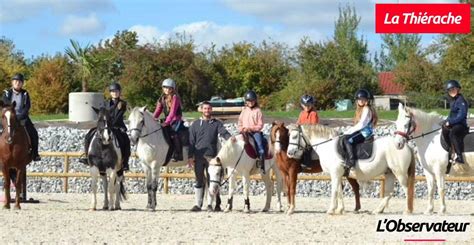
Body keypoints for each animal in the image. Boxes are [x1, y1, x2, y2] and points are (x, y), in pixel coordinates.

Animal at [286, 124, 414, 214]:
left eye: (295, 136)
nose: (289, 153)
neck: (327, 147)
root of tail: (405, 145)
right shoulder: (338, 175)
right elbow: (339, 191)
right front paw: (340, 209)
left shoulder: (334, 174)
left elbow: (334, 191)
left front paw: (331, 209)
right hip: (390, 173)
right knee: (389, 192)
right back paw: (378, 210)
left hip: (399, 173)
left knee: (407, 189)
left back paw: (408, 210)